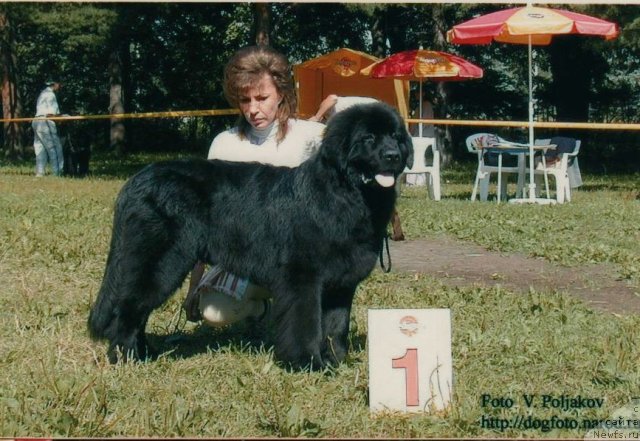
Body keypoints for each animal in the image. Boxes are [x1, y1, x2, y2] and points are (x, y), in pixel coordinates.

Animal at [87, 102, 412, 368]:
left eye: (396, 136)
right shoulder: (303, 277)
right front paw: (308, 363)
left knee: (137, 310)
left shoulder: (341, 284)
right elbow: (305, 324)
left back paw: (145, 353)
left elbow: (336, 325)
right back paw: (127, 357)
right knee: (127, 309)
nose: (393, 155)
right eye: (368, 138)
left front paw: (337, 362)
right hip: (158, 262)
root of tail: (136, 180)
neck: (344, 194)